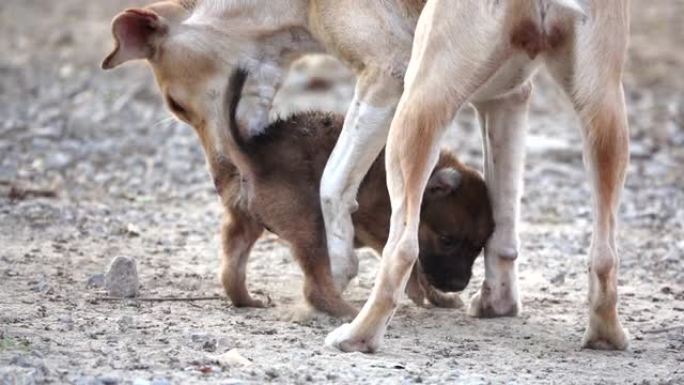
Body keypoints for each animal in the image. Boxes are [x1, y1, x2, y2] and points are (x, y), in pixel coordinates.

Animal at [328, 0, 632, 352]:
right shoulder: (507, 100)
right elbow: (502, 230)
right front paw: (498, 304)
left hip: (418, 107)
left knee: (402, 249)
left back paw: (357, 336)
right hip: (605, 116)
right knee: (605, 255)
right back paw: (606, 335)